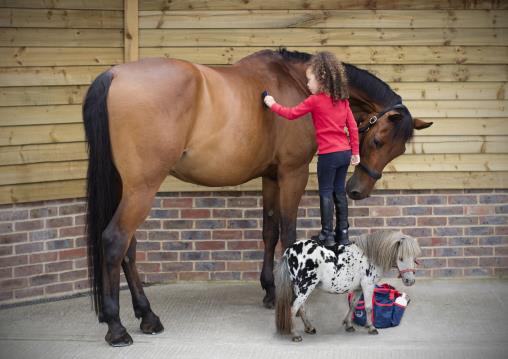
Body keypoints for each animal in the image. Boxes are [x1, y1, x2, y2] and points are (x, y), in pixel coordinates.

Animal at [274, 232, 420, 342]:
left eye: (414, 257)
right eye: (400, 258)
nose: (410, 281)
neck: (369, 256)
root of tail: (289, 252)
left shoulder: (358, 288)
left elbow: (353, 305)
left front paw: (349, 325)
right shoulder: (368, 285)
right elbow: (368, 308)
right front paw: (371, 327)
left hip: (299, 289)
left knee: (301, 308)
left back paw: (309, 328)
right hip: (305, 288)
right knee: (293, 309)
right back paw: (295, 335)